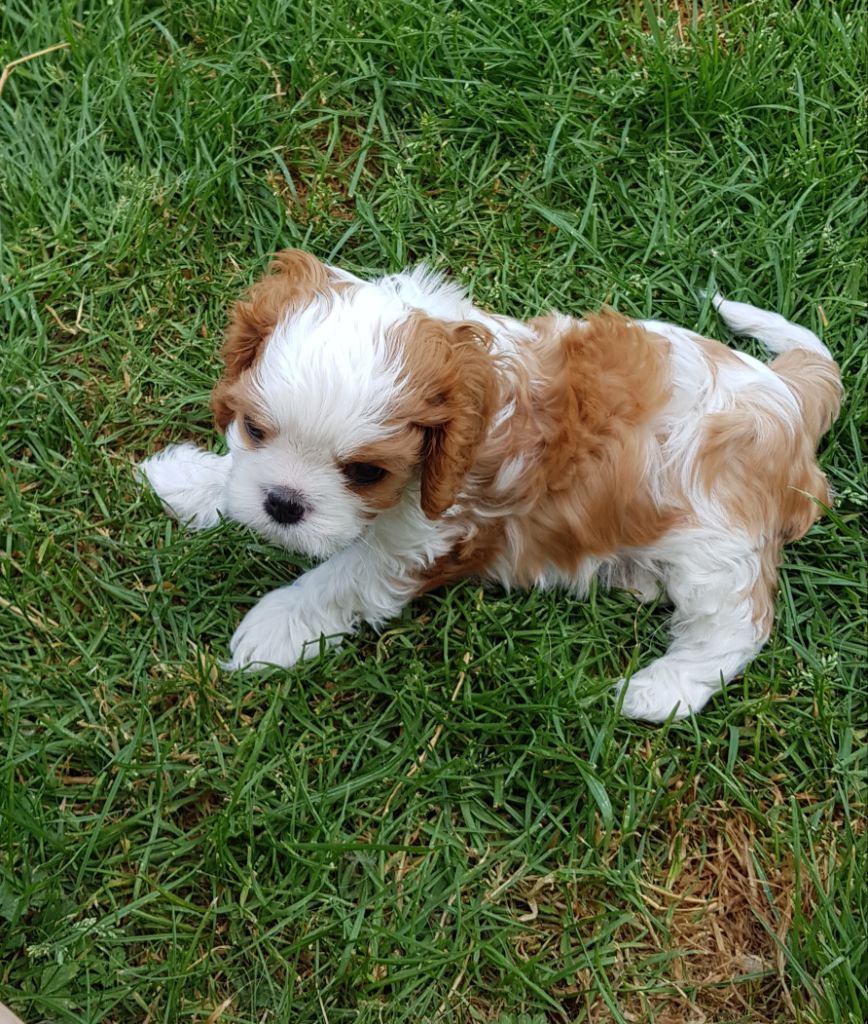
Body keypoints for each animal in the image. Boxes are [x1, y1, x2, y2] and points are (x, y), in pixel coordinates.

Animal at [139, 250, 841, 722]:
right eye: (255, 429)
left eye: (366, 473)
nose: (283, 504)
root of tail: (790, 395)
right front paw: (191, 479)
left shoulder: (423, 537)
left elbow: (338, 580)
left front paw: (273, 629)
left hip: (717, 547)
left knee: (737, 626)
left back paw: (659, 690)